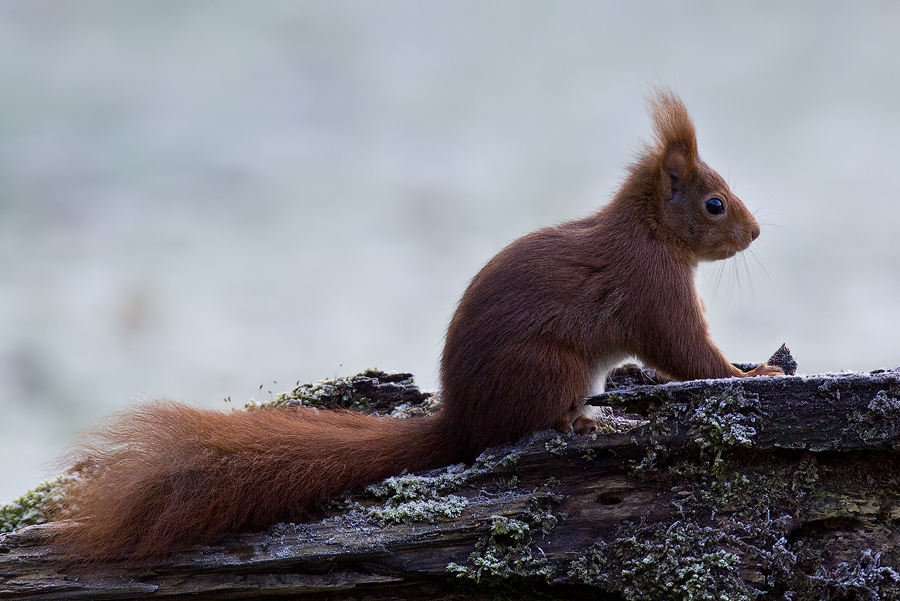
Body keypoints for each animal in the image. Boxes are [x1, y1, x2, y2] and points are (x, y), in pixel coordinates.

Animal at [52, 90, 780, 564]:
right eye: (715, 204)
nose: (756, 234)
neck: (649, 230)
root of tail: (461, 418)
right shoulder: (652, 288)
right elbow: (687, 352)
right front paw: (756, 371)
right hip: (549, 366)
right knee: (527, 424)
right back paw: (582, 422)